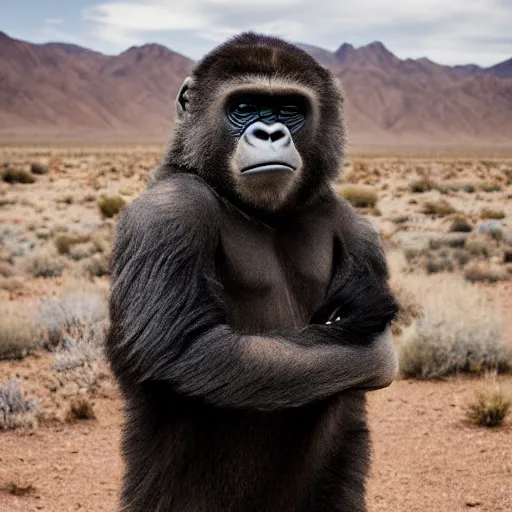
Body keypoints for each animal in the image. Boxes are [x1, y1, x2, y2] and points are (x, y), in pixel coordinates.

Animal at [106, 33, 398, 512]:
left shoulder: (356, 227)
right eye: (244, 107)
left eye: (289, 109)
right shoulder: (165, 216)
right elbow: (182, 347)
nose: (270, 132)